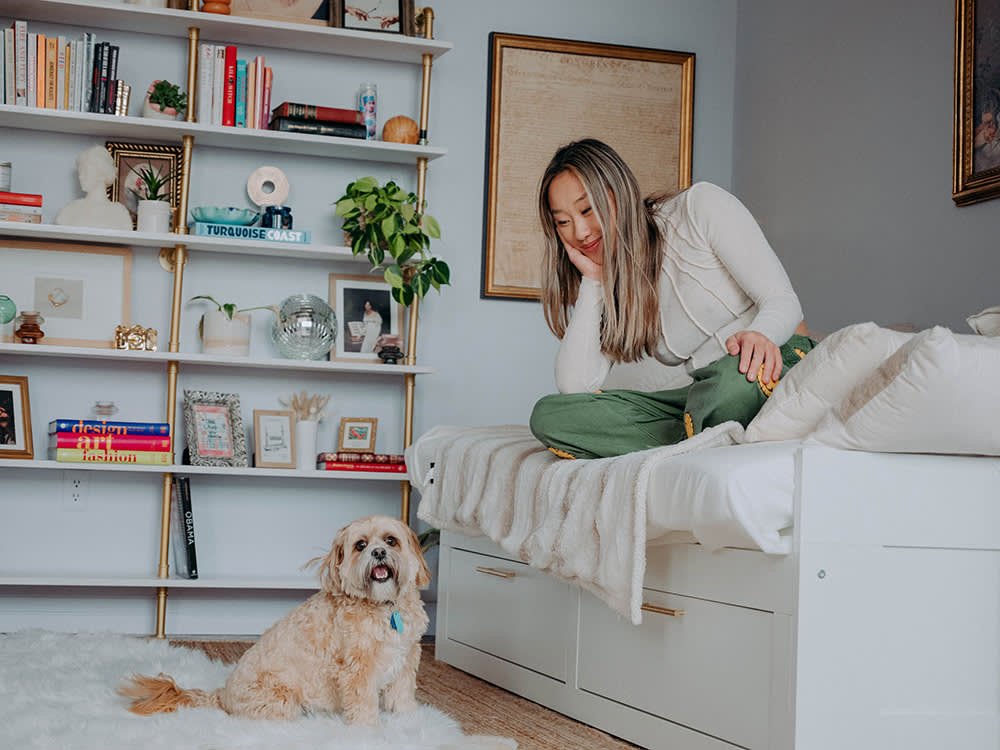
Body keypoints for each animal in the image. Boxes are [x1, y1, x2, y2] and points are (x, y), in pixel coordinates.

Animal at [117, 516, 430, 728]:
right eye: (360, 545)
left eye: (390, 540)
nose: (378, 552)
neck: (383, 606)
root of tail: (222, 696)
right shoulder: (357, 670)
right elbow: (364, 703)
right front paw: (369, 731)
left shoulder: (406, 659)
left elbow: (402, 696)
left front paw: (409, 722)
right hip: (281, 701)